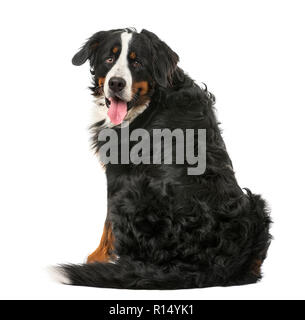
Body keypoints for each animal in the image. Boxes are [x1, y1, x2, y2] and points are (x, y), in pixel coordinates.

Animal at [55, 28, 270, 290]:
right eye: (109, 58)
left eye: (137, 62)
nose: (116, 83)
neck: (150, 102)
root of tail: (209, 265)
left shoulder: (118, 173)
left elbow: (108, 224)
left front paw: (96, 258)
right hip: (257, 205)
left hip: (133, 197)